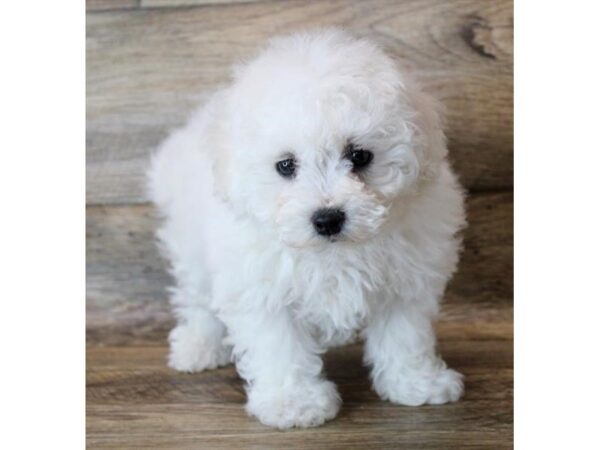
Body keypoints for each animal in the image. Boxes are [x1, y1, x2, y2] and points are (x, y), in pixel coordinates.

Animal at [148, 28, 466, 428]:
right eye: (286, 165)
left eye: (359, 156)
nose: (327, 218)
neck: (332, 253)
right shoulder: (261, 287)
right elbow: (279, 344)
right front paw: (293, 402)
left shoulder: (406, 278)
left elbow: (405, 334)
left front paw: (417, 383)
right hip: (191, 247)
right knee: (198, 299)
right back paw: (199, 345)